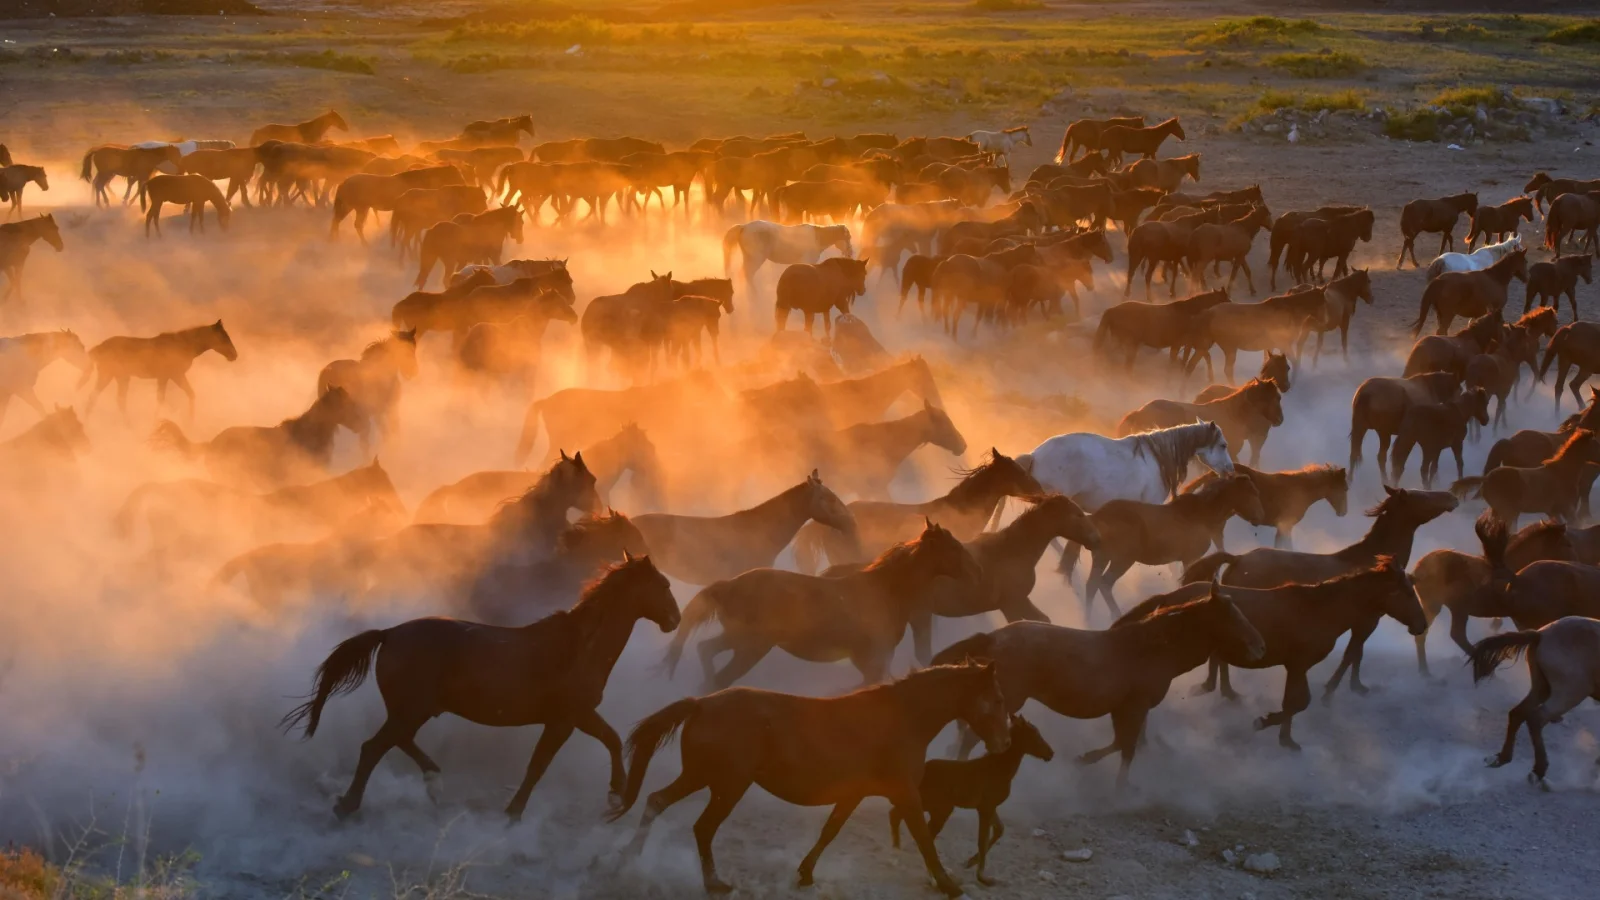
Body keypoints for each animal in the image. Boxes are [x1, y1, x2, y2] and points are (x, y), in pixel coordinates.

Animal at [80, 321, 237, 420]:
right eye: (223, 337)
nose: (234, 355)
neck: (186, 345)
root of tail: (98, 349)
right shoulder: (170, 376)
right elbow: (162, 400)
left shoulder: (173, 376)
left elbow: (190, 394)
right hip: (112, 375)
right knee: (103, 399)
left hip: (118, 376)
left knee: (111, 400)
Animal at [282, 553, 676, 822]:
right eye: (664, 586)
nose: (675, 619)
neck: (580, 647)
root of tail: (390, 634)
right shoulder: (566, 719)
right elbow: (539, 765)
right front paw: (514, 813)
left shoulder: (577, 716)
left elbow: (610, 739)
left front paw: (615, 794)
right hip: (411, 709)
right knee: (373, 748)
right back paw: (347, 806)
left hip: (414, 710)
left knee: (398, 741)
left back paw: (433, 782)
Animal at [611, 661, 1010, 898]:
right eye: (996, 699)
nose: (1004, 743)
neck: (903, 719)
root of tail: (701, 703)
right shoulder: (905, 793)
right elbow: (925, 838)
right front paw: (949, 884)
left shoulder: (854, 794)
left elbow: (830, 831)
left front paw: (805, 874)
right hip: (727, 785)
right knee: (702, 827)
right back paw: (713, 883)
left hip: (701, 776)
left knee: (657, 801)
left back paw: (630, 859)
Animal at [937, 582, 1263, 786]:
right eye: (1230, 614)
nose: (1259, 645)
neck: (1152, 648)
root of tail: (993, 638)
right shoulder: (1134, 707)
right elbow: (1127, 747)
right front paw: (1119, 787)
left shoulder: (1125, 709)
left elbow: (1123, 743)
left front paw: (1084, 760)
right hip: (1008, 699)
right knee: (971, 736)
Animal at [1181, 486, 1458, 699]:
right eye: (1421, 496)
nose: (1451, 497)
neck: (1368, 561)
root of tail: (1238, 559)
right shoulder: (1366, 622)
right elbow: (1351, 654)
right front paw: (1334, 689)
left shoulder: (1363, 622)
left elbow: (1356, 654)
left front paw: (1356, 686)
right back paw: (1227, 691)